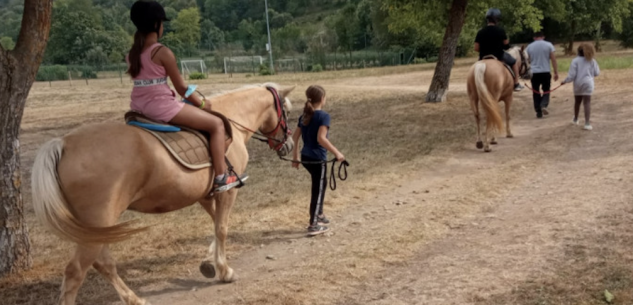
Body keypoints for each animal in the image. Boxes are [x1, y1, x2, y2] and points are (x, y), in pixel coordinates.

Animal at [31, 83, 294, 304]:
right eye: (287, 113)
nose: (289, 145)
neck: (232, 120)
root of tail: (63, 144)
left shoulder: (206, 195)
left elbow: (215, 224)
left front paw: (209, 262)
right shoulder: (225, 192)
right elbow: (221, 228)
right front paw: (224, 270)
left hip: (95, 229)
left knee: (102, 264)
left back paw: (134, 299)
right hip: (99, 223)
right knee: (75, 272)